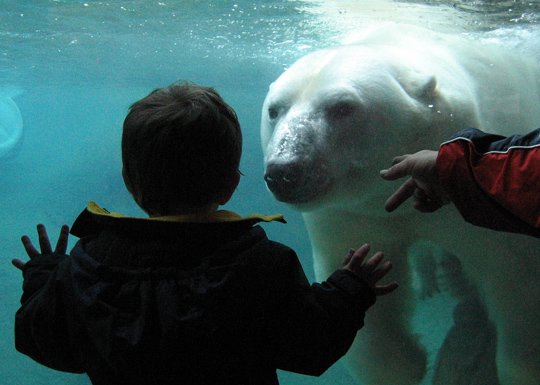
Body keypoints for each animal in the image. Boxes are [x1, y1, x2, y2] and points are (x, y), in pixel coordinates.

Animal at [260, 25, 540, 384]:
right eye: (275, 110)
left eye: (342, 108)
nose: (285, 171)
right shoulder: (352, 212)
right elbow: (367, 275)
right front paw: (407, 363)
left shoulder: (486, 206)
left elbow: (517, 278)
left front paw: (523, 366)